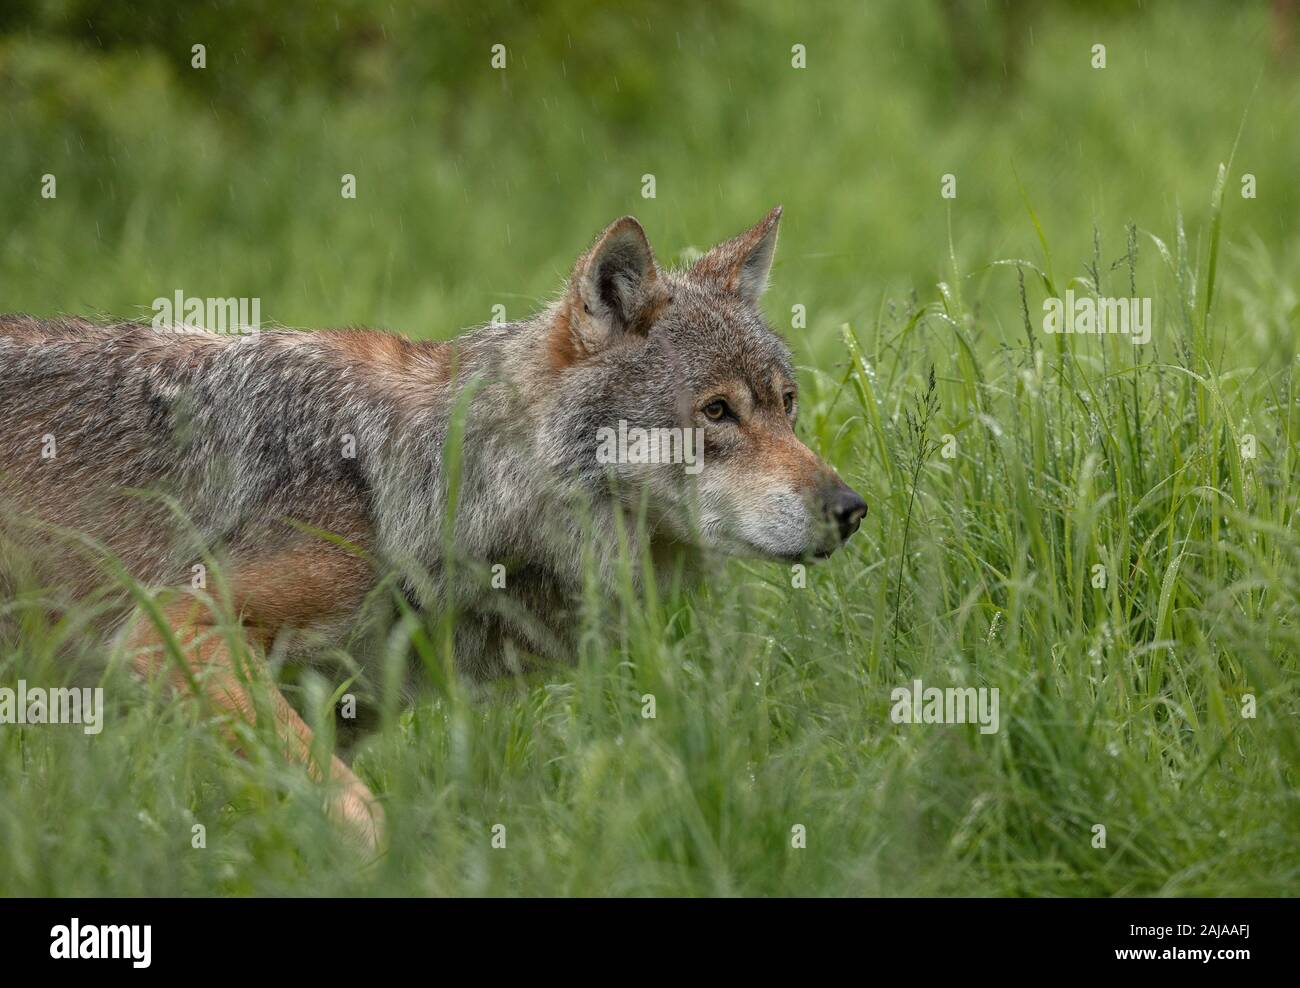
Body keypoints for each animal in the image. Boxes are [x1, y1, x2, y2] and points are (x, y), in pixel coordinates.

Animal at [0, 207, 866, 848]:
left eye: (787, 405)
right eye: (717, 413)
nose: (851, 509)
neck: (435, 482)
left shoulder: (339, 706)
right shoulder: (172, 628)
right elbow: (356, 812)